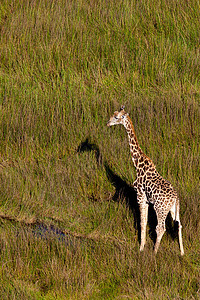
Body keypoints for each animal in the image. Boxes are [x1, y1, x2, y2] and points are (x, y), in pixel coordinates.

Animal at [106, 104, 184, 254]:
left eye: (116, 117)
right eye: (113, 113)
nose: (108, 123)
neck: (138, 164)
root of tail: (175, 198)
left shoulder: (141, 198)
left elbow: (142, 223)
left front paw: (141, 248)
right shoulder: (146, 200)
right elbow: (144, 222)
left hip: (160, 209)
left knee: (161, 228)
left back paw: (154, 252)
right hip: (173, 209)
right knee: (179, 225)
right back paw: (182, 253)